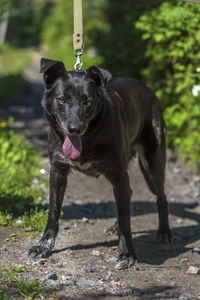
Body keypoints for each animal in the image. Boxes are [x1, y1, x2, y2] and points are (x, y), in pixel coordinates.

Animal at [28, 57, 171, 266]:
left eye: (88, 101)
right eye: (61, 100)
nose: (74, 129)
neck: (88, 138)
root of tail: (148, 89)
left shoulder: (119, 174)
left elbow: (126, 221)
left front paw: (127, 252)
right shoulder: (58, 171)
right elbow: (53, 211)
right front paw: (43, 245)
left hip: (153, 162)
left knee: (161, 196)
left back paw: (164, 231)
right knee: (128, 196)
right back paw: (115, 227)